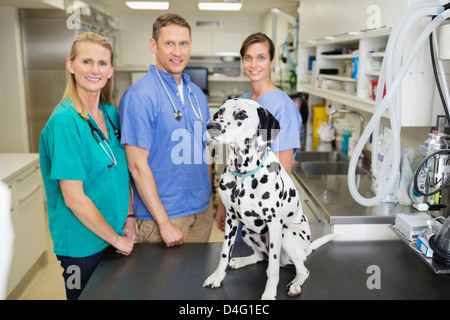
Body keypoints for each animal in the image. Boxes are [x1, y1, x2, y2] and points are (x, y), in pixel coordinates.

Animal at [204, 98, 338, 300]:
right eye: (220, 111)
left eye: (241, 114)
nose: (211, 127)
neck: (243, 175)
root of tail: (306, 249)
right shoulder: (231, 218)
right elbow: (224, 253)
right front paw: (217, 277)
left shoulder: (274, 223)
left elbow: (273, 267)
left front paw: (268, 293)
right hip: (247, 231)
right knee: (261, 257)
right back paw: (240, 261)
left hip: (287, 234)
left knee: (301, 269)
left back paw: (295, 285)